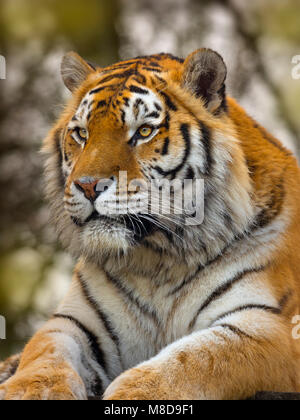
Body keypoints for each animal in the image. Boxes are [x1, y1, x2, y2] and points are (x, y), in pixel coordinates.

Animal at [0, 49, 300, 400]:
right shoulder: (73, 322)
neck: (159, 259)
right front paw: (28, 390)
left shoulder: (269, 326)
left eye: (143, 132)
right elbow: (43, 353)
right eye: (82, 134)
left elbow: (193, 359)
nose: (88, 186)